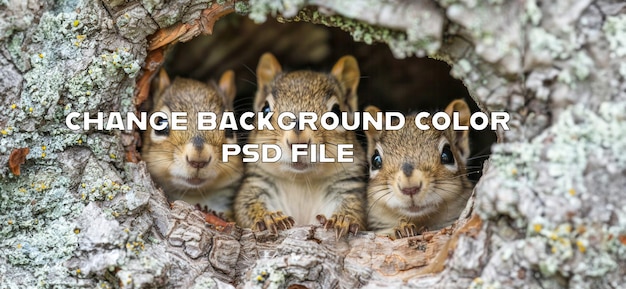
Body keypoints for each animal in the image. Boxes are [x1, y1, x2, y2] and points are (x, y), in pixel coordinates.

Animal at [234, 53, 366, 237]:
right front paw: (269, 218)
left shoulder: (347, 188)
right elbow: (245, 205)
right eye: (265, 109)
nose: (298, 141)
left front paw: (342, 219)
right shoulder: (257, 185)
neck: (301, 182)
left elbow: (355, 208)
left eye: (337, 112)